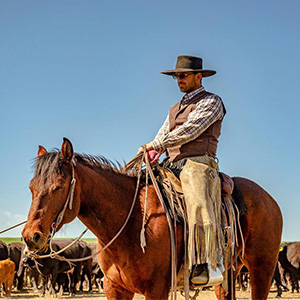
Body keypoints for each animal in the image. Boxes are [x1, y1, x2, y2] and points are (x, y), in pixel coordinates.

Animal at [22, 139, 282, 300]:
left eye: (58, 186)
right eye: (31, 187)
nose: (30, 236)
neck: (130, 223)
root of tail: (271, 200)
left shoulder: (156, 289)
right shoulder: (114, 288)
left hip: (262, 267)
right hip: (229, 272)